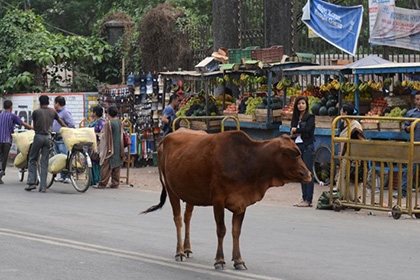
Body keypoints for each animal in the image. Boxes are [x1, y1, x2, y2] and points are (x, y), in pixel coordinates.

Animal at [142, 128, 312, 270]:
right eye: (294, 155)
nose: (309, 174)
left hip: (189, 192)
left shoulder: (241, 203)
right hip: (172, 190)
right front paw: (219, 260)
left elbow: (236, 231)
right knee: (177, 219)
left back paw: (187, 249)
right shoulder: (218, 200)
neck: (248, 160)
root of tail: (166, 138)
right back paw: (180, 252)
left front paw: (238, 260)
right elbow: (221, 230)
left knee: (187, 217)